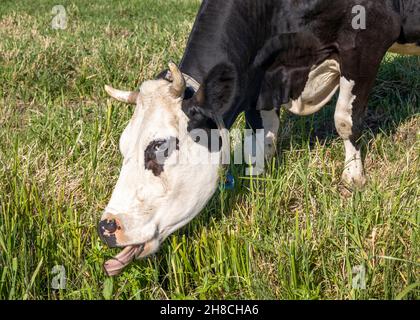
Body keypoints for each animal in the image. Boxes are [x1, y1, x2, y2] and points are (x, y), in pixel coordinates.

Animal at [97, 0, 420, 276]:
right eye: (123, 146)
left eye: (160, 147)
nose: (107, 228)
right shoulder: (261, 78)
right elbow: (262, 136)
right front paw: (260, 181)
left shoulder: (367, 38)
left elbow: (345, 120)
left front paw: (353, 176)